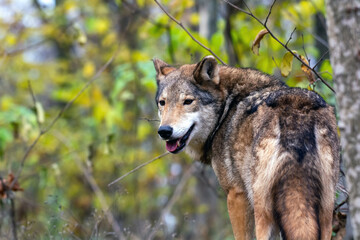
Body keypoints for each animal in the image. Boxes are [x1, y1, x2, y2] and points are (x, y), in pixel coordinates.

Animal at [152, 56, 340, 240]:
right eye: (162, 103)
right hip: (324, 213)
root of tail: (297, 113)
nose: (164, 131)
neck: (226, 110)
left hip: (262, 209)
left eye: (188, 101)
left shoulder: (236, 195)